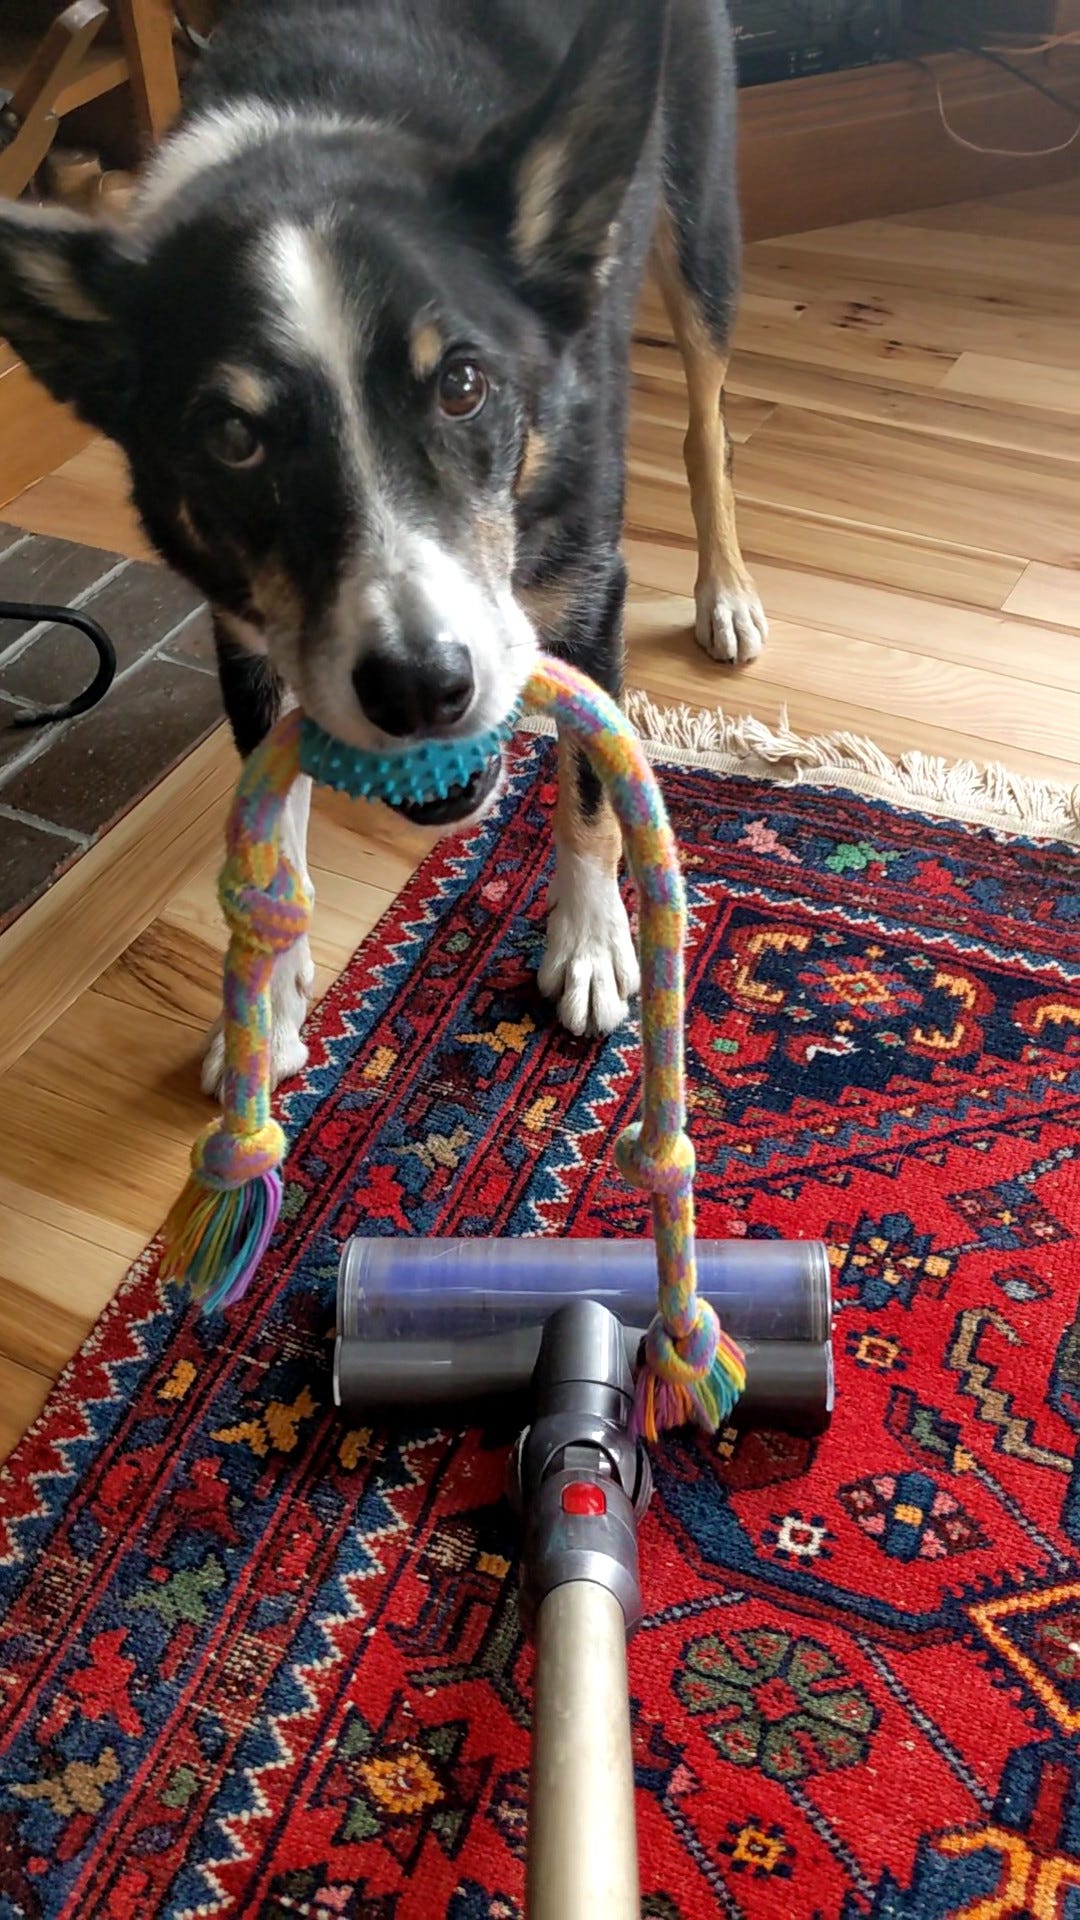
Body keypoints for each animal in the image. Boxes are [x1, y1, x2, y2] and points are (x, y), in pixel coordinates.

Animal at [0, 0, 764, 1082]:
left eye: (464, 385)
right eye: (232, 438)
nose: (417, 689)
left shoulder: (588, 589)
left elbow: (588, 788)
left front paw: (587, 945)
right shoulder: (248, 638)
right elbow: (273, 831)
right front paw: (268, 1006)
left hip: (698, 218)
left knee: (707, 417)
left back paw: (725, 590)